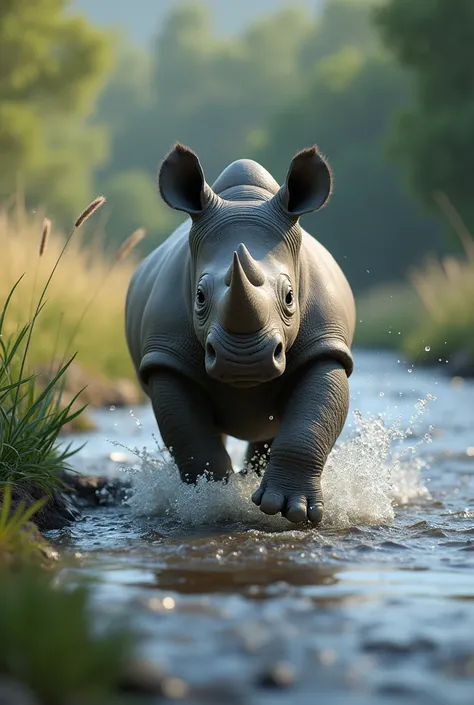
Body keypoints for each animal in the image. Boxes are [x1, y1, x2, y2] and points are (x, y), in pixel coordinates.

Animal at [126, 142, 356, 524]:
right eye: (199, 297)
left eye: (290, 297)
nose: (244, 361)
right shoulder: (168, 357)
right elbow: (189, 436)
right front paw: (213, 502)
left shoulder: (325, 346)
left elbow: (313, 420)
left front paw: (291, 510)